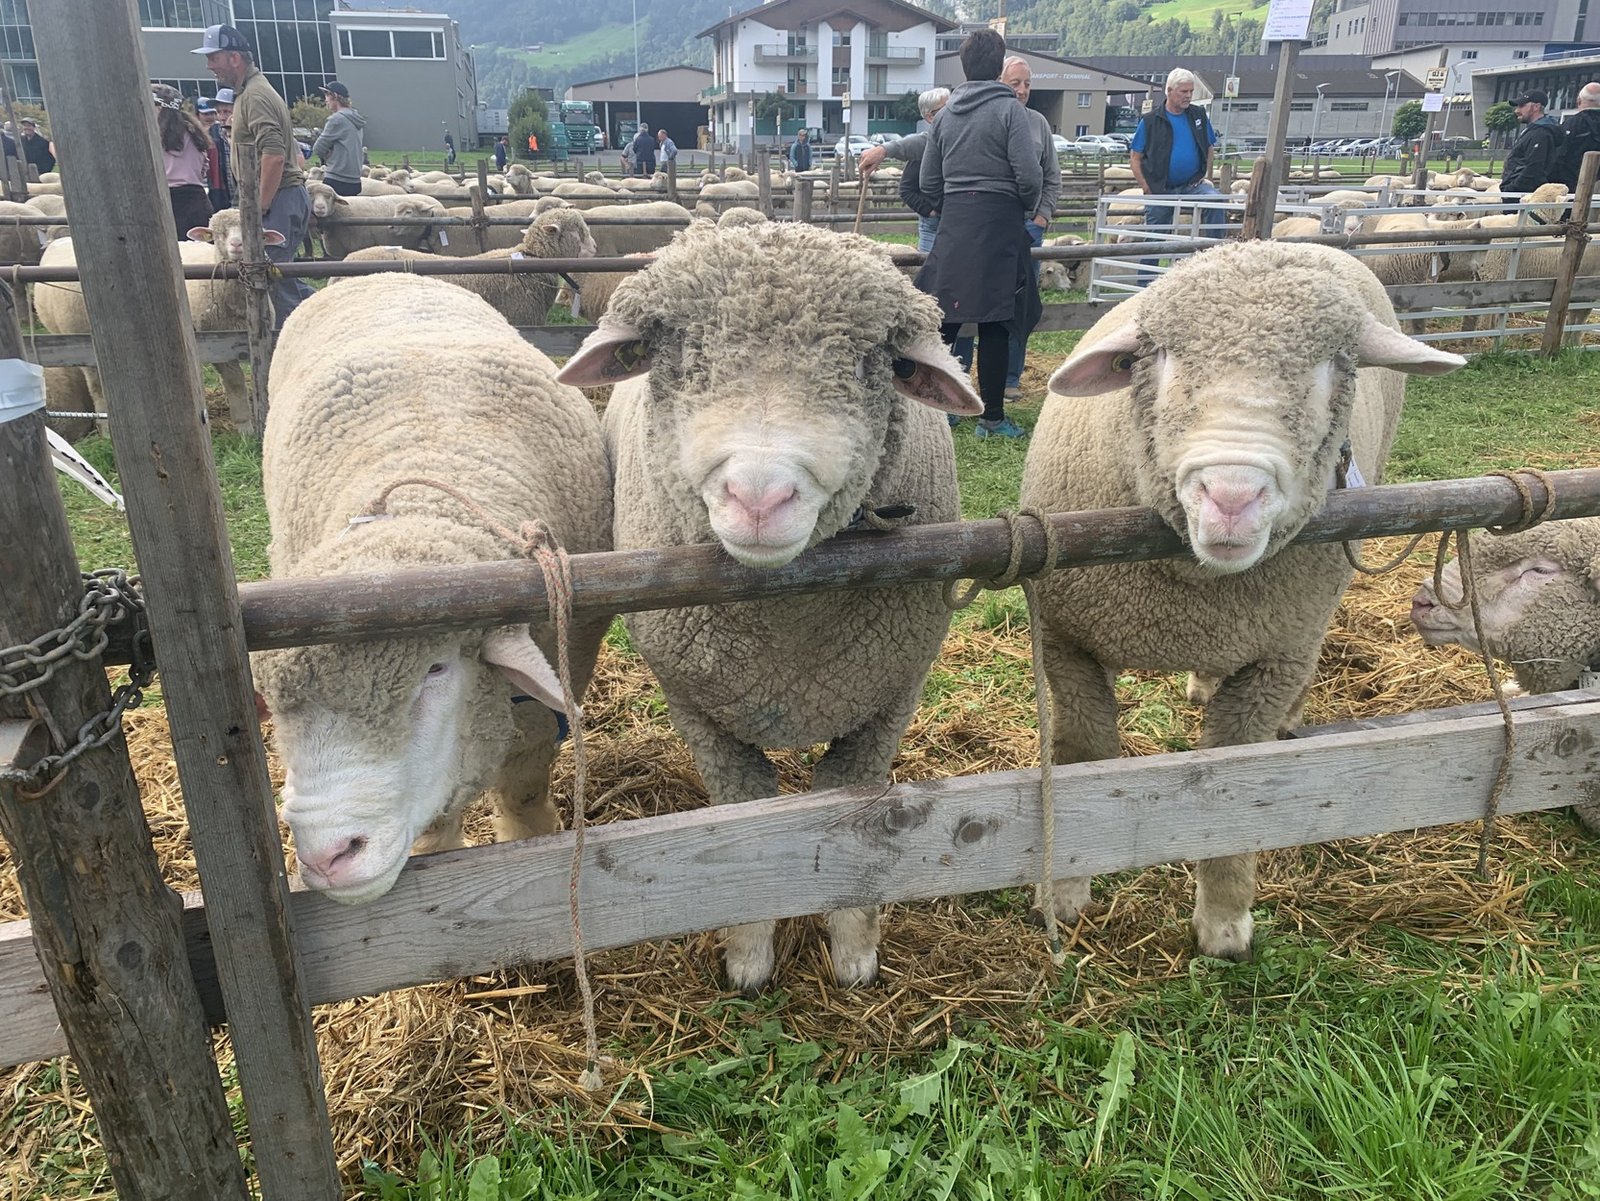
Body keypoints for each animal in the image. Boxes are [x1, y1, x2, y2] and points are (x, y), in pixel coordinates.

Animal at [252, 273, 613, 904]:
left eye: (436, 670)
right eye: (273, 705)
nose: (328, 857)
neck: (429, 499)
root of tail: (386, 272)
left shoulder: (544, 702)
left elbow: (523, 787)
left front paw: (531, 838)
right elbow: (437, 828)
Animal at [554, 221, 983, 991]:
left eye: (873, 363)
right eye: (678, 355)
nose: (759, 497)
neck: (786, 624)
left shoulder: (892, 696)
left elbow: (852, 803)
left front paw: (853, 948)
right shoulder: (696, 706)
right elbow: (743, 812)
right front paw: (749, 952)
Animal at [1018, 240, 1464, 960]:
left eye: (1334, 366)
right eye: (1158, 357)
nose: (1231, 495)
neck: (1192, 587)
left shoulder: (1270, 662)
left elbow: (1231, 782)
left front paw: (1224, 921)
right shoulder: (1066, 640)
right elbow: (1085, 753)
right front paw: (1061, 895)